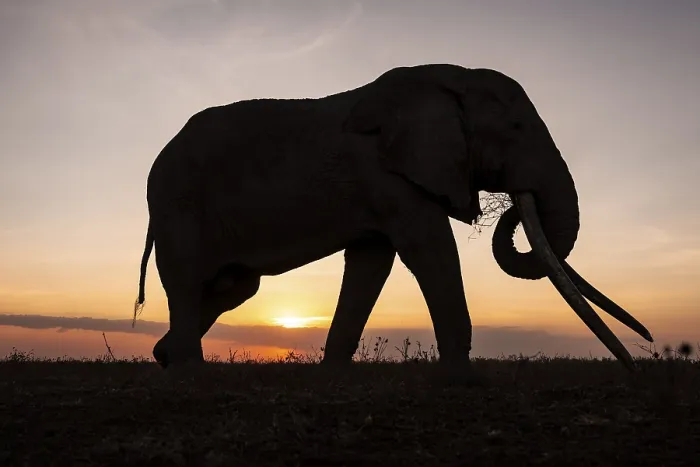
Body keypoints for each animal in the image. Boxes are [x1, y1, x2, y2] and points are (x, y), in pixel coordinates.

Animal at [134, 63, 653, 372]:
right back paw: (190, 374)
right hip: (178, 205)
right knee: (188, 282)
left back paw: (165, 357)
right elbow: (429, 248)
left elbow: (371, 263)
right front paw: (459, 380)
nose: (638, 361)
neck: (451, 78)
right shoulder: (388, 175)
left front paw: (335, 376)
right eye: (517, 127)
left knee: (234, 289)